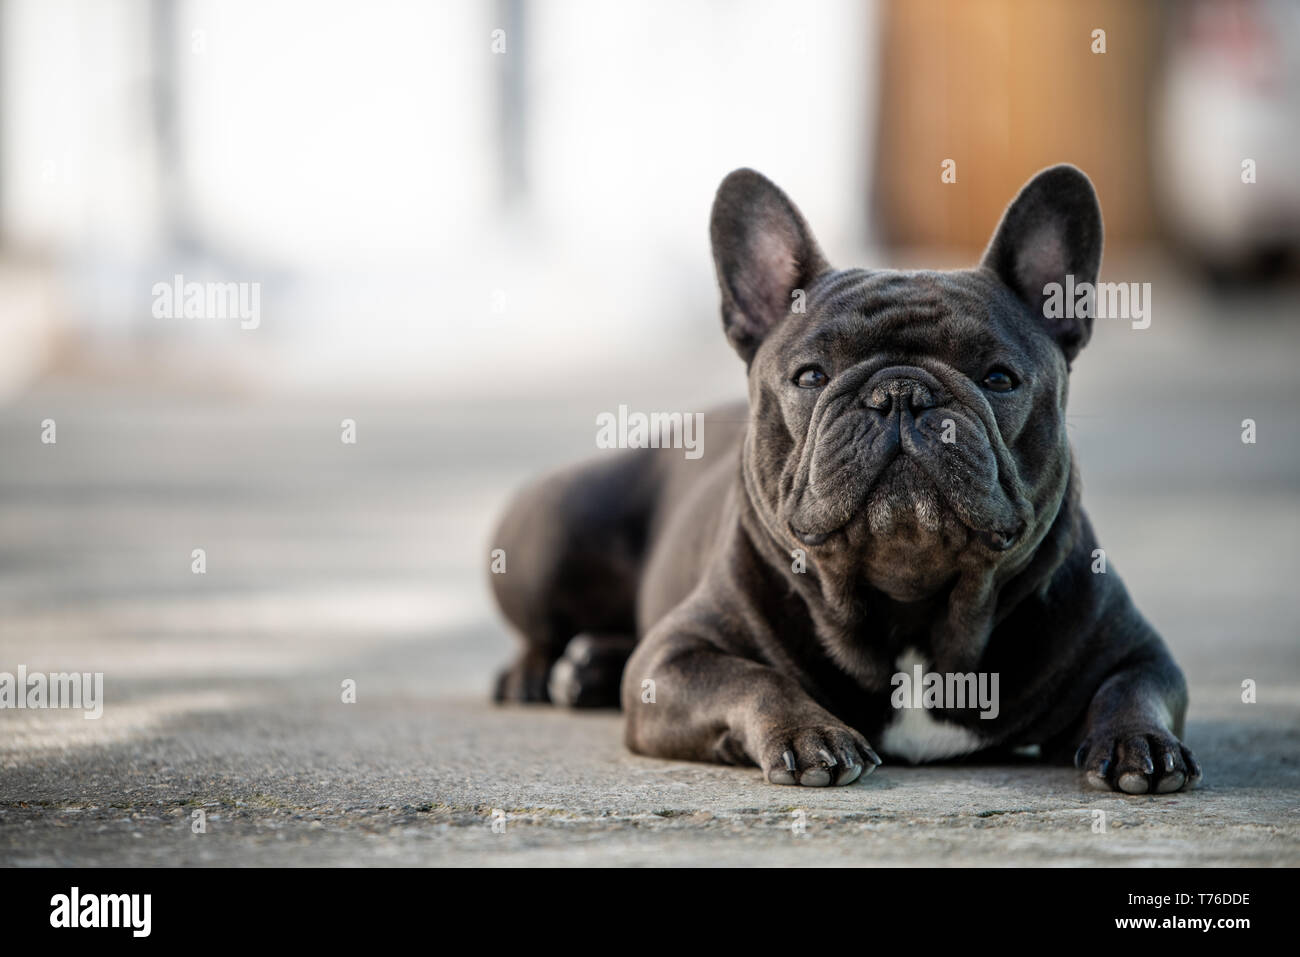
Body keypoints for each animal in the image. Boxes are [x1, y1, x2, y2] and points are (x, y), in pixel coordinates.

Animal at [491, 164, 1201, 790]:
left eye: (1000, 378)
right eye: (811, 376)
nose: (900, 392)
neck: (914, 613)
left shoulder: (1136, 650)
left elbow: (1133, 688)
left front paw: (1140, 742)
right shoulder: (672, 660)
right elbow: (754, 678)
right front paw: (811, 734)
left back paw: (588, 667)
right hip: (553, 530)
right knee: (543, 627)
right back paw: (537, 674)